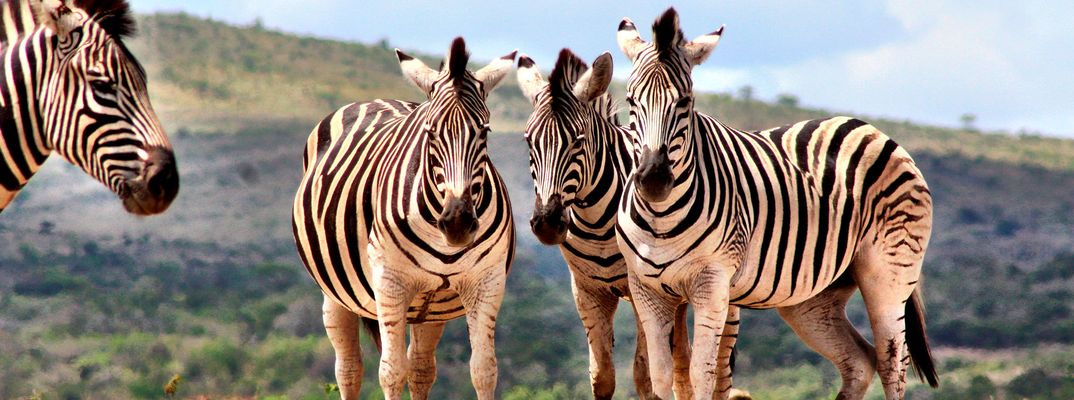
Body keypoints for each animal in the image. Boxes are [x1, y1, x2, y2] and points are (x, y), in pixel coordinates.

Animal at [292, 37, 516, 400]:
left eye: (484, 131)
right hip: (336, 294)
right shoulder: (390, 283)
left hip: (432, 306)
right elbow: (391, 371)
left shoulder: (487, 282)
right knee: (349, 368)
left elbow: (484, 371)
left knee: (422, 369)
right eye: (431, 132)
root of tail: (376, 99)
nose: (457, 222)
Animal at [518, 48, 743, 399]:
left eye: (578, 141)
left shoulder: (639, 289)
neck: (597, 225)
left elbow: (643, 375)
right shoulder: (588, 291)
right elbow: (603, 376)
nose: (547, 223)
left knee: (717, 371)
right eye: (529, 141)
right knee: (683, 366)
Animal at [614, 8, 938, 399]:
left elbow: (700, 374)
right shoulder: (646, 291)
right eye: (631, 101)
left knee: (892, 361)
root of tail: (871, 129)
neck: (661, 220)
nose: (654, 181)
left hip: (889, 273)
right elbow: (661, 377)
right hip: (814, 296)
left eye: (685, 103)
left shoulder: (711, 284)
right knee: (860, 361)